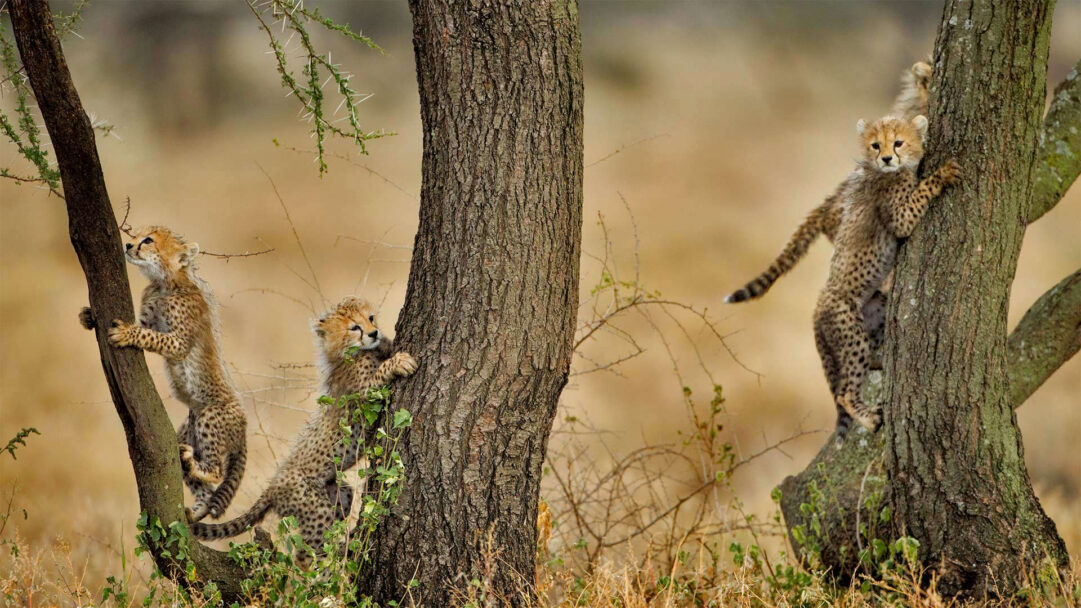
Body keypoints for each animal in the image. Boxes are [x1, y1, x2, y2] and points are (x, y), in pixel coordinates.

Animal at [79, 226, 247, 523]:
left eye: (148, 240)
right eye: (136, 235)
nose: (128, 245)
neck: (166, 282)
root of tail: (246, 425)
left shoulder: (178, 341)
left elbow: (151, 336)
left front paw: (126, 333)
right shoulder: (150, 316)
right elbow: (145, 326)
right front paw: (89, 316)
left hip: (210, 415)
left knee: (216, 470)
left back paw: (201, 471)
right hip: (184, 434)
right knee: (195, 477)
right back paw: (194, 506)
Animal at [189, 297, 417, 566]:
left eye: (370, 318)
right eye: (354, 327)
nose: (373, 333)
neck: (349, 352)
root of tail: (272, 487)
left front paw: (387, 342)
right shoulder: (362, 393)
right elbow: (377, 378)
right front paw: (399, 362)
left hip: (339, 494)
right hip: (313, 506)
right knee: (305, 555)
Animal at [814, 114, 960, 441]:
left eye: (898, 142)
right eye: (875, 145)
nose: (887, 158)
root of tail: (816, 310)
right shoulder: (900, 216)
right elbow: (920, 194)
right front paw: (943, 174)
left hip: (876, 305)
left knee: (868, 358)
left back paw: (880, 360)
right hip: (850, 332)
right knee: (844, 391)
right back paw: (869, 418)